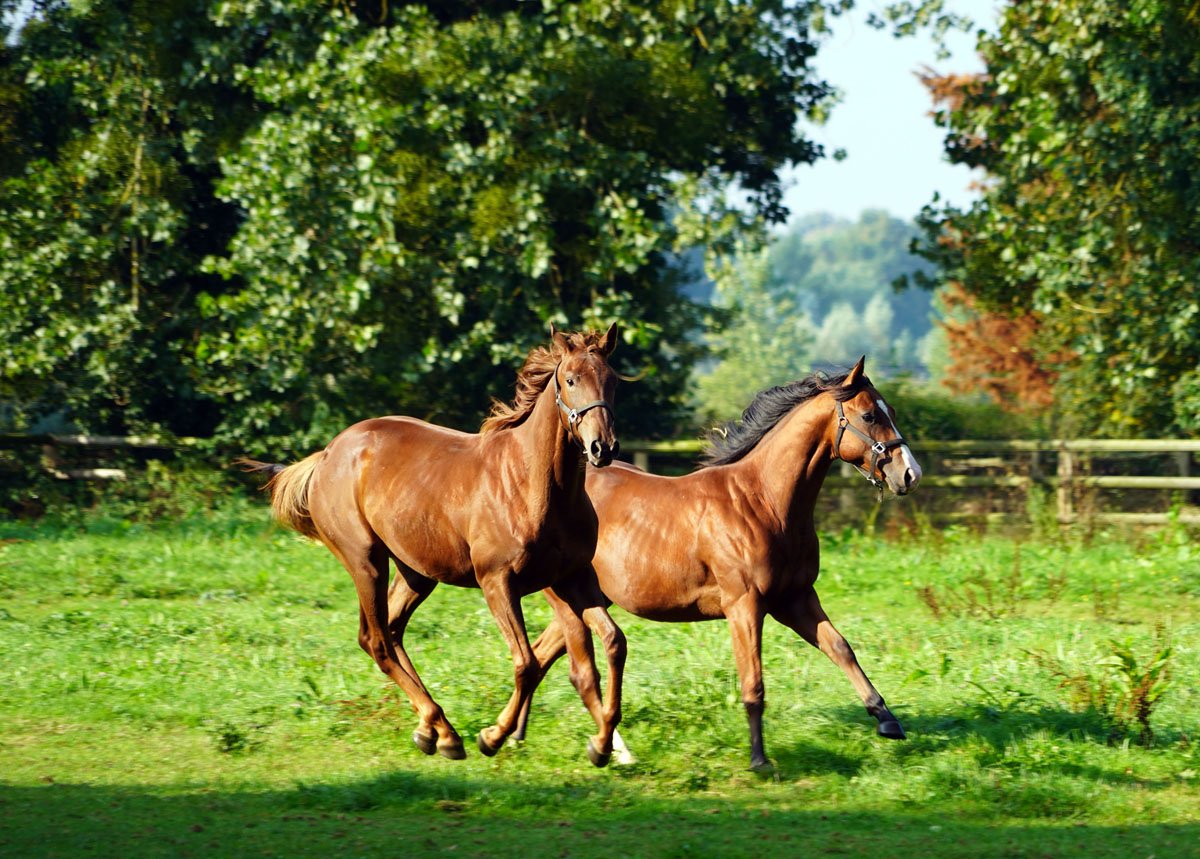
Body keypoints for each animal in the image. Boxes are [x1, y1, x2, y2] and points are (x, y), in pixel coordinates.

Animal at [242, 324, 628, 766]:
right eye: (570, 380)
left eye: (612, 381)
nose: (602, 448)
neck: (533, 485)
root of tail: (327, 454)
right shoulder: (498, 582)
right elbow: (527, 663)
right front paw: (492, 736)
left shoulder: (572, 579)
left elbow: (611, 645)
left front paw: (602, 743)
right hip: (366, 561)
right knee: (377, 640)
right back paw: (446, 733)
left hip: (416, 573)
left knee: (390, 631)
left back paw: (434, 731)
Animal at [504, 356, 922, 770]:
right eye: (869, 415)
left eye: (890, 410)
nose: (910, 474)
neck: (764, 502)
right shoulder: (745, 606)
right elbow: (753, 682)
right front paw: (759, 760)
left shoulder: (796, 599)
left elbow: (841, 648)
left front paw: (887, 720)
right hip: (569, 600)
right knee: (569, 668)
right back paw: (603, 748)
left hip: (590, 599)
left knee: (542, 654)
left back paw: (520, 737)